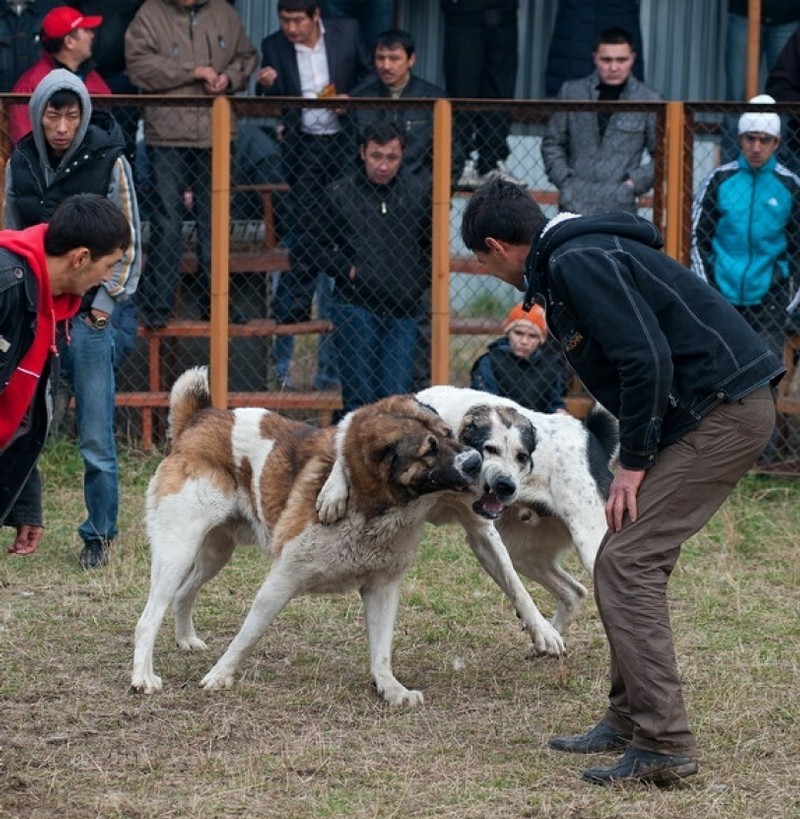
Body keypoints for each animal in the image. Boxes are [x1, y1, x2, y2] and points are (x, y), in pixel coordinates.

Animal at [131, 368, 482, 708]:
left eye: (449, 433)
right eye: (428, 450)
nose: (476, 461)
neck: (368, 510)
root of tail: (198, 420)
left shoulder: (382, 589)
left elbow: (381, 654)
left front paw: (392, 689)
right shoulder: (281, 582)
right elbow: (247, 636)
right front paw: (219, 676)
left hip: (214, 555)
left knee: (184, 593)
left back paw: (185, 640)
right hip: (177, 552)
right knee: (148, 618)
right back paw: (143, 678)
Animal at [316, 386, 616, 660]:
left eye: (522, 457)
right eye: (489, 449)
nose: (507, 486)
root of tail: (591, 435)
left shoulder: (483, 531)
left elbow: (516, 587)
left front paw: (541, 630)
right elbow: (345, 440)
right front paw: (333, 493)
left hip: (589, 546)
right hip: (524, 552)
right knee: (574, 591)